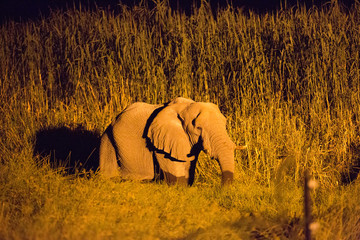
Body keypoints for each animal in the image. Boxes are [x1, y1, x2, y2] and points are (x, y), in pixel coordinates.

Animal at [98, 96, 245, 185]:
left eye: (225, 123)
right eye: (198, 128)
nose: (220, 189)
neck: (186, 106)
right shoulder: (160, 142)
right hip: (107, 140)